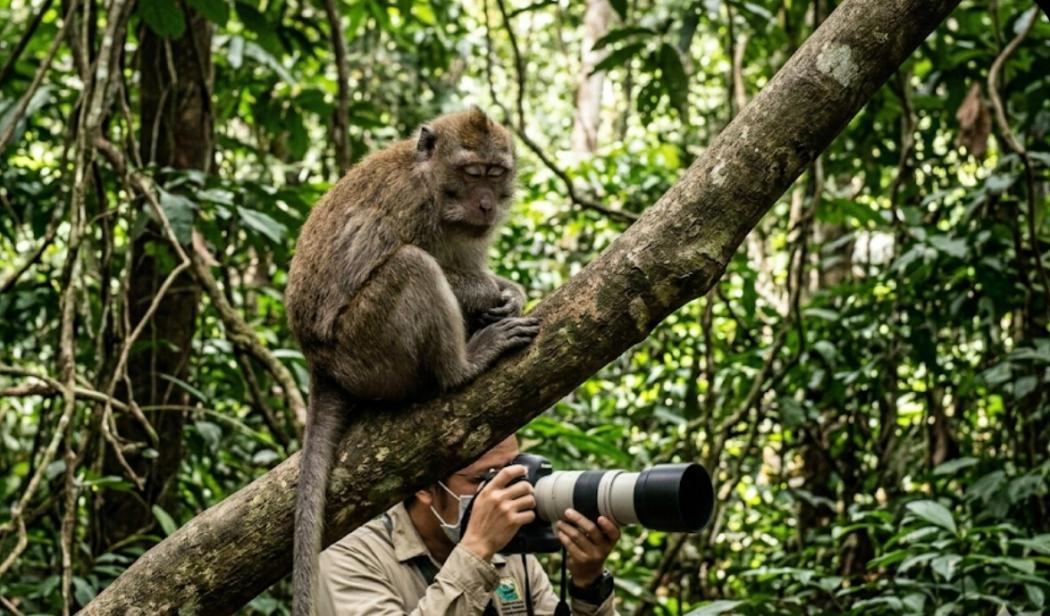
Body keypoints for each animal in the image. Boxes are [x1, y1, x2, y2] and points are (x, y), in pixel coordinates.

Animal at [284, 108, 539, 616]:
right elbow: (436, 266)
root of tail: (320, 364)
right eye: (471, 172)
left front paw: (510, 293)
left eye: (495, 173)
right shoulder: (413, 208)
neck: (433, 186)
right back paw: (463, 365)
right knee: (412, 265)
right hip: (366, 349)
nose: (486, 204)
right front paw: (493, 291)